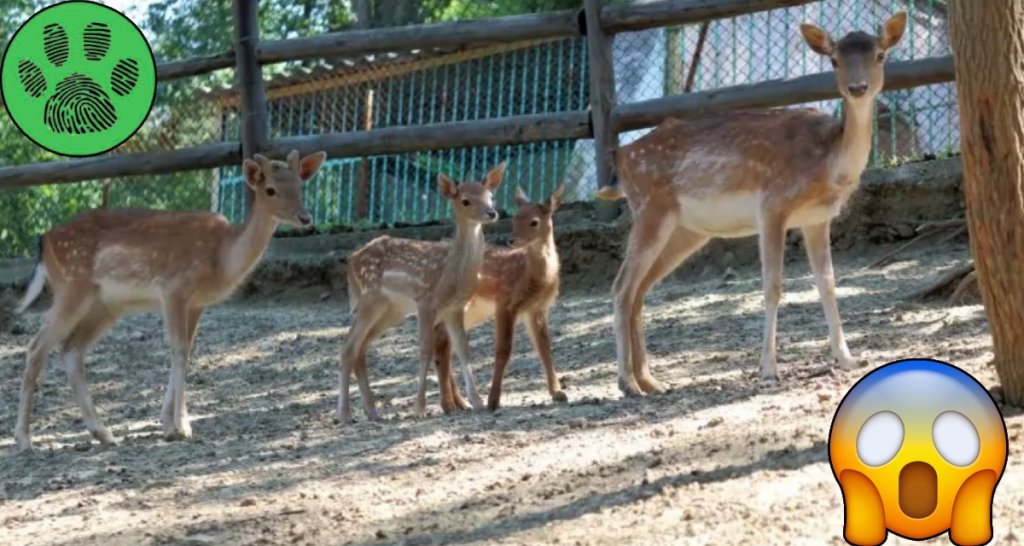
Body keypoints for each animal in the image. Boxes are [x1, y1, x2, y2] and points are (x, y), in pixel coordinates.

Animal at [14, 150, 327, 450]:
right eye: (270, 190)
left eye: (301, 184)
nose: (305, 218)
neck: (221, 258)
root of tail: (44, 242)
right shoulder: (173, 289)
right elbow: (178, 350)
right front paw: (182, 426)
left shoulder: (197, 303)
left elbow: (187, 350)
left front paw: (168, 424)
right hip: (71, 287)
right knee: (36, 347)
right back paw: (24, 440)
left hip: (105, 305)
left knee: (71, 349)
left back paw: (103, 433)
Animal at [342, 161, 505, 422]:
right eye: (466, 200)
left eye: (490, 196)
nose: (492, 213)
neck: (450, 274)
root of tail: (350, 261)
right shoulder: (426, 302)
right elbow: (425, 350)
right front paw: (420, 409)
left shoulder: (455, 308)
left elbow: (464, 350)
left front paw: (478, 402)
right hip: (370, 299)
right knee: (348, 346)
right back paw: (345, 414)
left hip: (391, 310)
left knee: (360, 347)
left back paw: (373, 411)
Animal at [428, 183, 565, 409]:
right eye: (514, 218)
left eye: (534, 221)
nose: (511, 240)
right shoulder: (505, 302)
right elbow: (503, 350)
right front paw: (493, 400)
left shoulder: (537, 308)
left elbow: (544, 347)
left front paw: (558, 392)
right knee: (442, 342)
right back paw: (452, 403)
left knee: (444, 342)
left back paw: (459, 402)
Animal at [598, 11, 909, 391]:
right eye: (834, 60)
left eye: (880, 55)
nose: (858, 88)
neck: (827, 162)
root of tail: (622, 158)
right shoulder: (772, 204)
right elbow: (773, 286)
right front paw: (769, 368)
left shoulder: (817, 219)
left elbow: (828, 283)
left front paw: (848, 359)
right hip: (649, 208)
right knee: (621, 288)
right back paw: (626, 382)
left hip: (686, 230)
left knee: (639, 290)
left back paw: (651, 381)